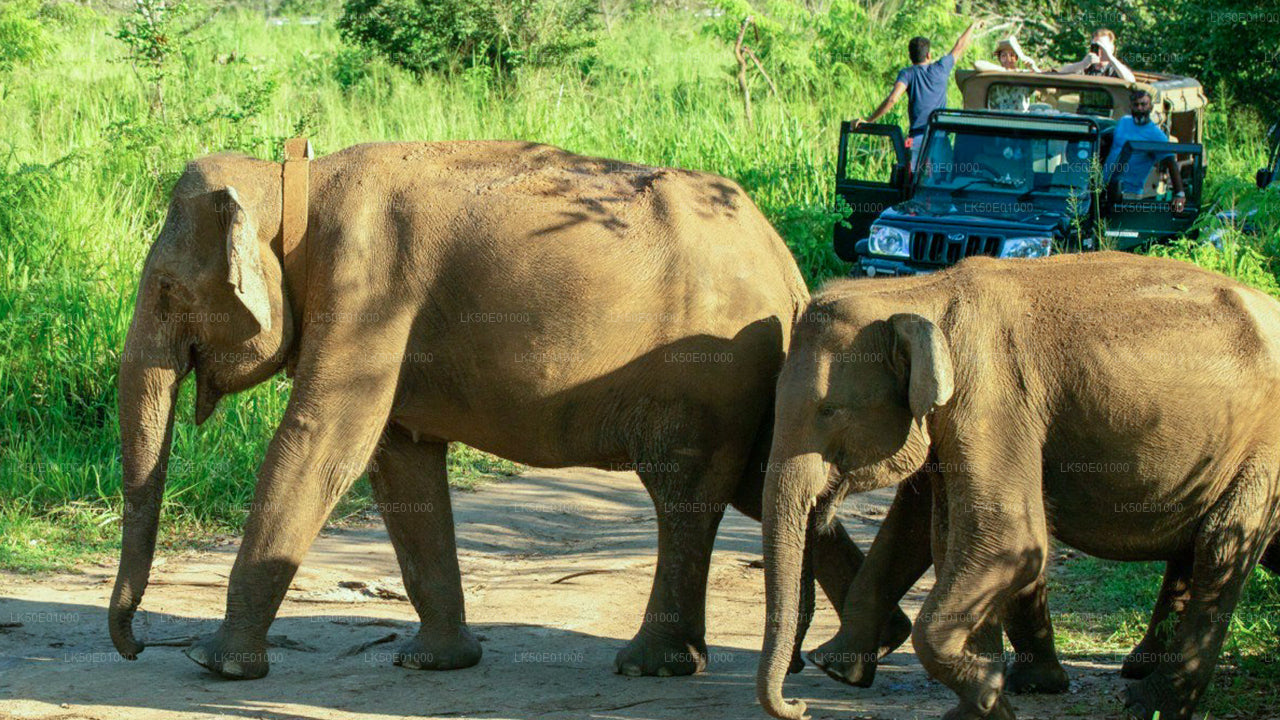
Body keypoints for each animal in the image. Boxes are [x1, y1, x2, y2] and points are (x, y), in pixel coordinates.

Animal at [108, 139, 913, 681]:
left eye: (168, 292)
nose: (137, 644)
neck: (296, 176)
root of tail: (788, 269)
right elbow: (399, 463)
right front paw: (436, 663)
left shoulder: (367, 290)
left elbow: (322, 444)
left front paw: (216, 666)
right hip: (748, 382)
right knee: (758, 486)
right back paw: (872, 646)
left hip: (710, 375)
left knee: (685, 495)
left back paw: (655, 665)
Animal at [756, 252, 1280, 720]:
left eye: (829, 411)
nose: (799, 704)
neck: (919, 292)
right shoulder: (956, 416)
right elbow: (940, 535)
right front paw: (975, 702)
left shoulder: (992, 397)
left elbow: (1006, 537)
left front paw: (988, 695)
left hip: (1263, 449)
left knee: (1221, 544)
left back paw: (1145, 703)